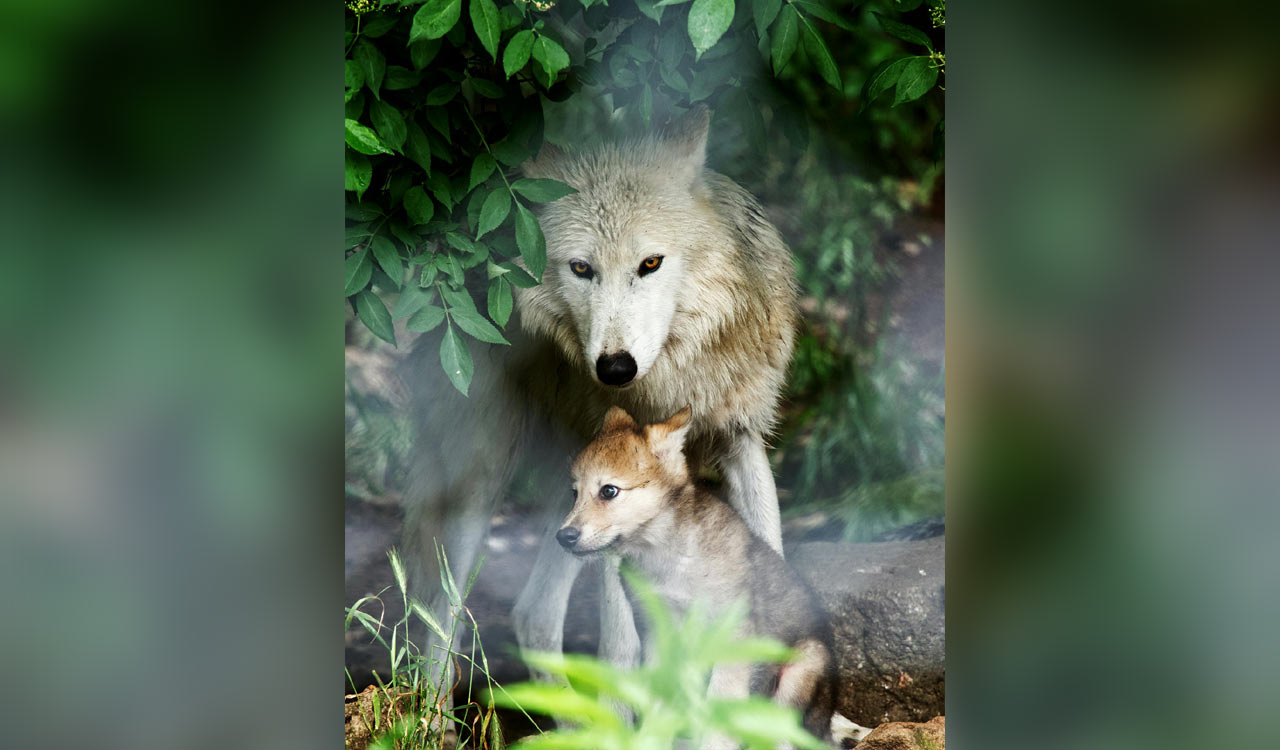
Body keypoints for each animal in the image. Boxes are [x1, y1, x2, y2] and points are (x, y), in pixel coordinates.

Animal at [399, 105, 798, 694]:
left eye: (651, 263)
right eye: (581, 268)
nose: (614, 368)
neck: (668, 386)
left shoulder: (740, 443)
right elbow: (623, 648)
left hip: (566, 503)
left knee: (533, 614)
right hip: (484, 477)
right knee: (441, 615)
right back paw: (432, 709)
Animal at [558, 406, 837, 747]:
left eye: (608, 491)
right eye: (574, 493)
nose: (564, 536)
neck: (666, 558)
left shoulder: (732, 635)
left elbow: (720, 710)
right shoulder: (660, 633)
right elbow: (660, 704)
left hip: (802, 669)